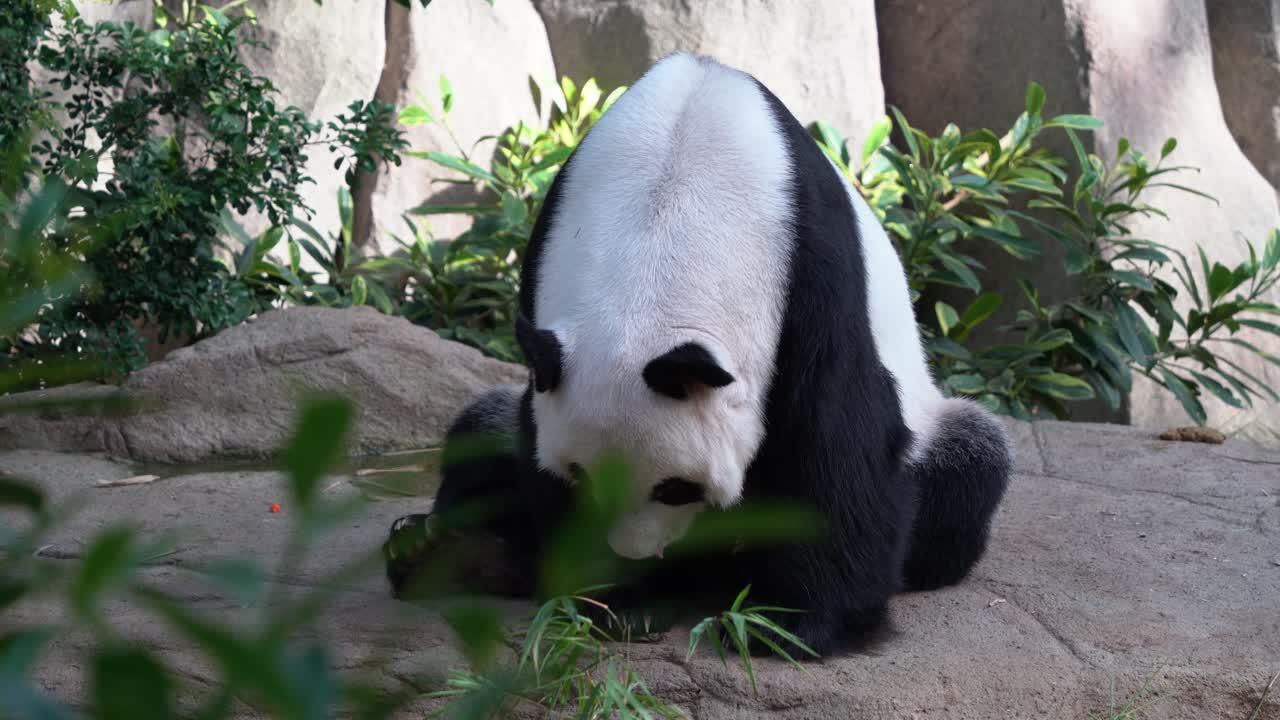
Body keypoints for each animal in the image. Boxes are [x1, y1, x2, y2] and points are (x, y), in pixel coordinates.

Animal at [384, 53, 1012, 656]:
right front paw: (617, 600)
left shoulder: (813, 275)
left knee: (968, 470)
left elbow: (832, 440)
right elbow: (533, 447)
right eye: (581, 476)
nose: (635, 553)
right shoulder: (545, 261)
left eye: (676, 488)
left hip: (935, 430)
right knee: (480, 435)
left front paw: (786, 626)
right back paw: (442, 551)